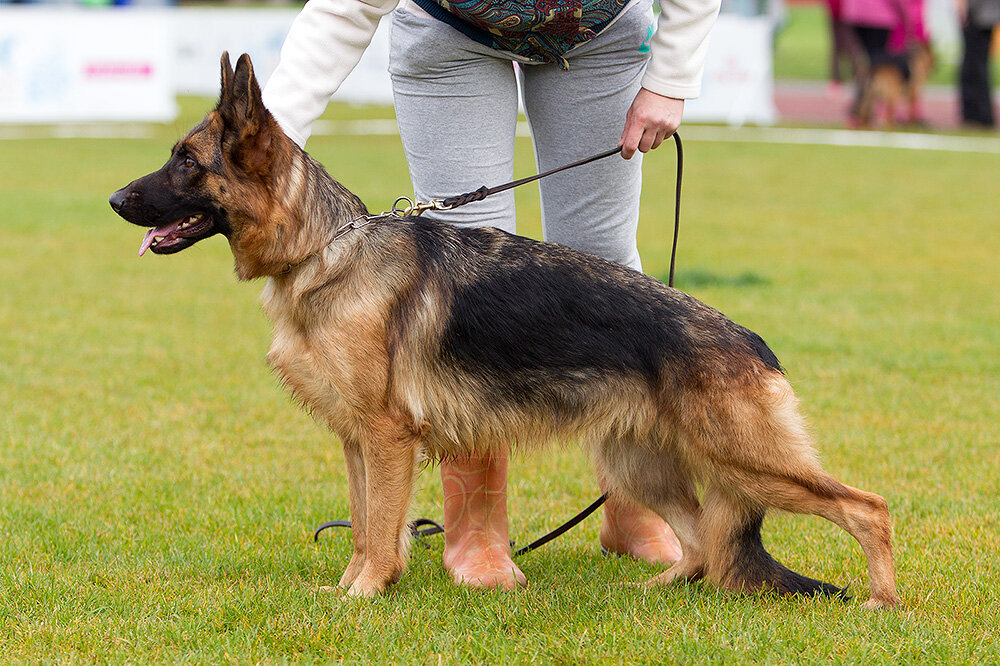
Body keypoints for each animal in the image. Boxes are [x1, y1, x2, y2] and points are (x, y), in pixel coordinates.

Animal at [109, 53, 900, 608]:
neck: (324, 248)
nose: (114, 200)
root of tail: (751, 343)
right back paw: (653, 593)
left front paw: (363, 595)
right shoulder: (357, 441)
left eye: (186, 161)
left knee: (867, 508)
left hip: (747, 461)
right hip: (637, 463)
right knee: (704, 541)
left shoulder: (385, 439)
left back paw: (881, 601)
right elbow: (365, 524)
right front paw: (350, 587)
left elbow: (379, 528)